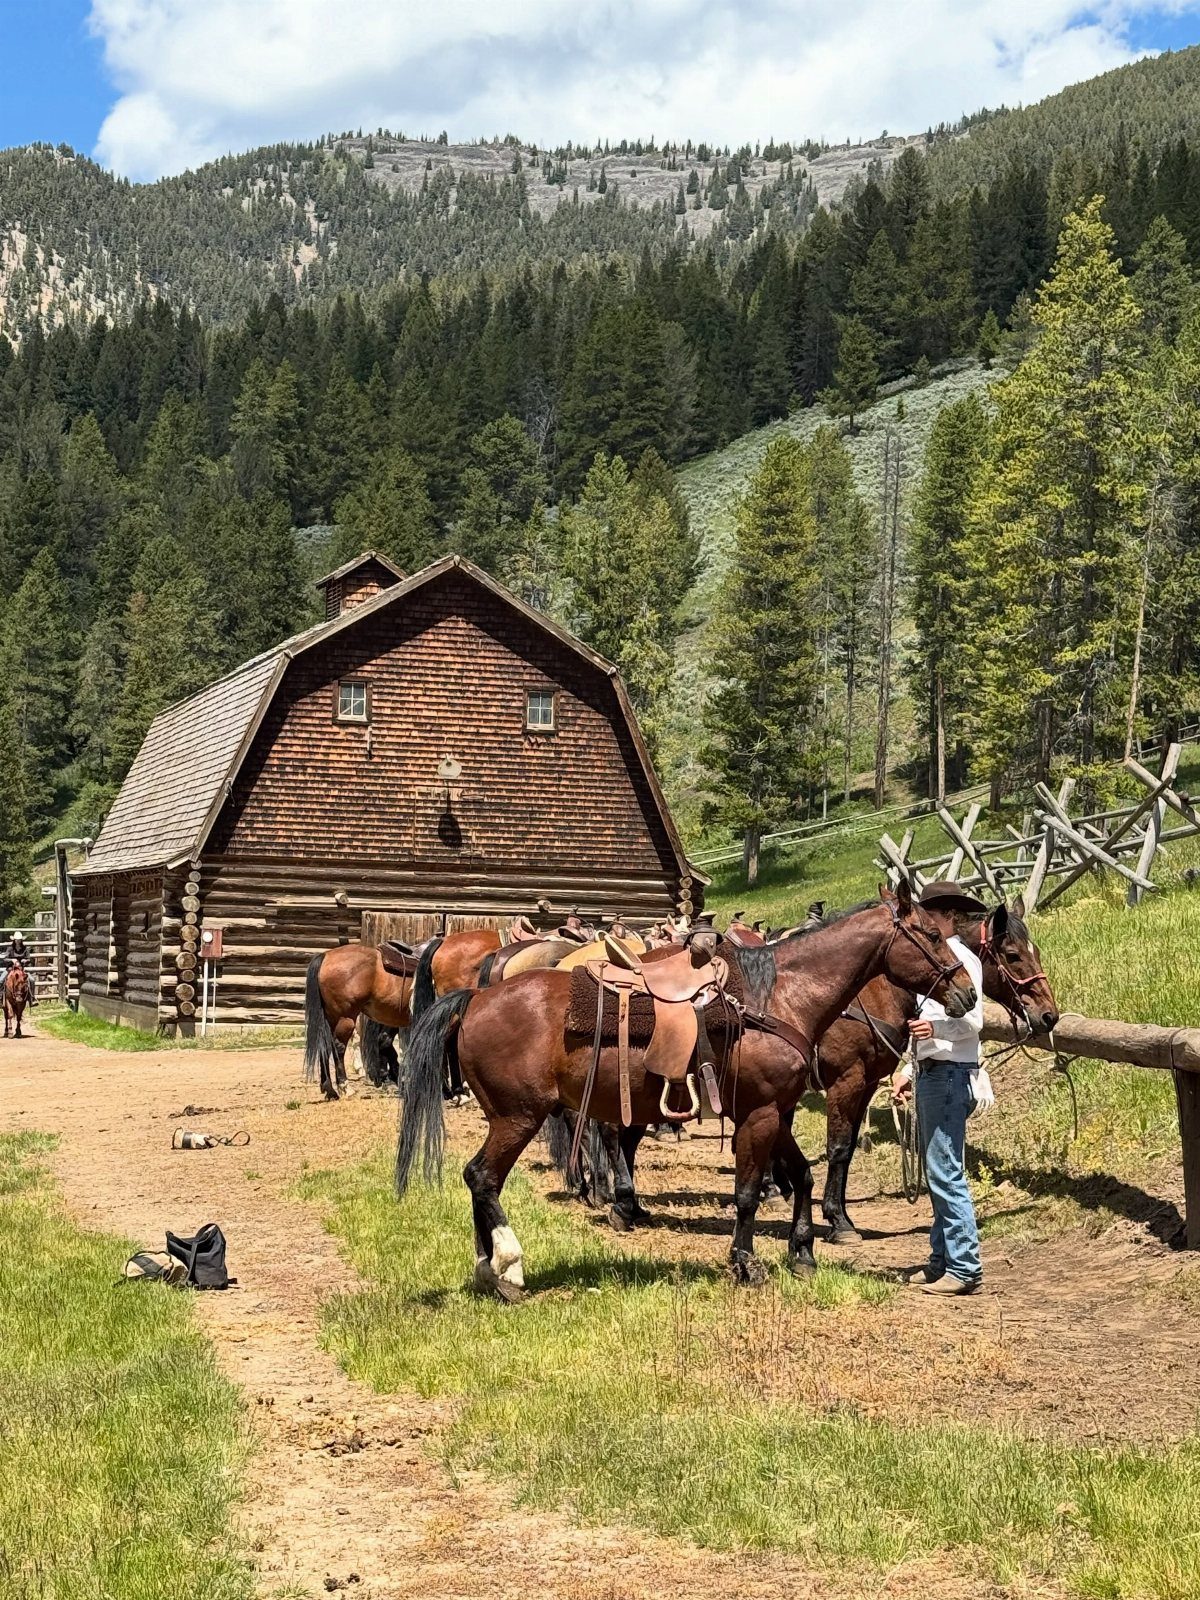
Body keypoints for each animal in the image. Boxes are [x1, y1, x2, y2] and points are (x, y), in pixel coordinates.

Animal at [304, 944, 414, 1100]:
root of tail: (326, 955)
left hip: (331, 1019)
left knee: (325, 1046)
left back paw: (330, 1090)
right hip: (345, 1019)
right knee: (339, 1047)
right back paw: (345, 1087)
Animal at [395, 883, 978, 1299]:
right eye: (929, 934)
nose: (968, 993)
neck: (781, 997)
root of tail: (475, 998)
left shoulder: (776, 1109)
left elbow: (803, 1174)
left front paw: (803, 1253)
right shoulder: (764, 1112)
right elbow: (748, 1192)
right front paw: (747, 1264)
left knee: (485, 1181)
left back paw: (489, 1268)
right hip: (518, 1116)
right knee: (483, 1177)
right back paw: (509, 1269)